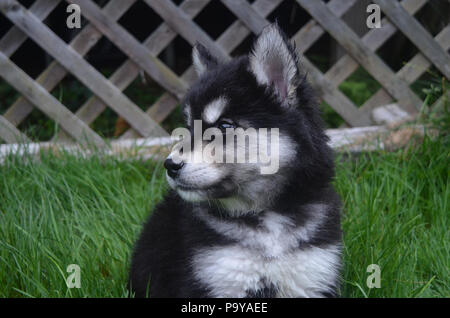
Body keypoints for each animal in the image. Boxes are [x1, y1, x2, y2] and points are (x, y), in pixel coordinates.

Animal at [128, 23, 342, 296]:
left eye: (224, 126)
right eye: (189, 127)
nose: (170, 165)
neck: (266, 216)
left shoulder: (310, 276)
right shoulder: (219, 277)